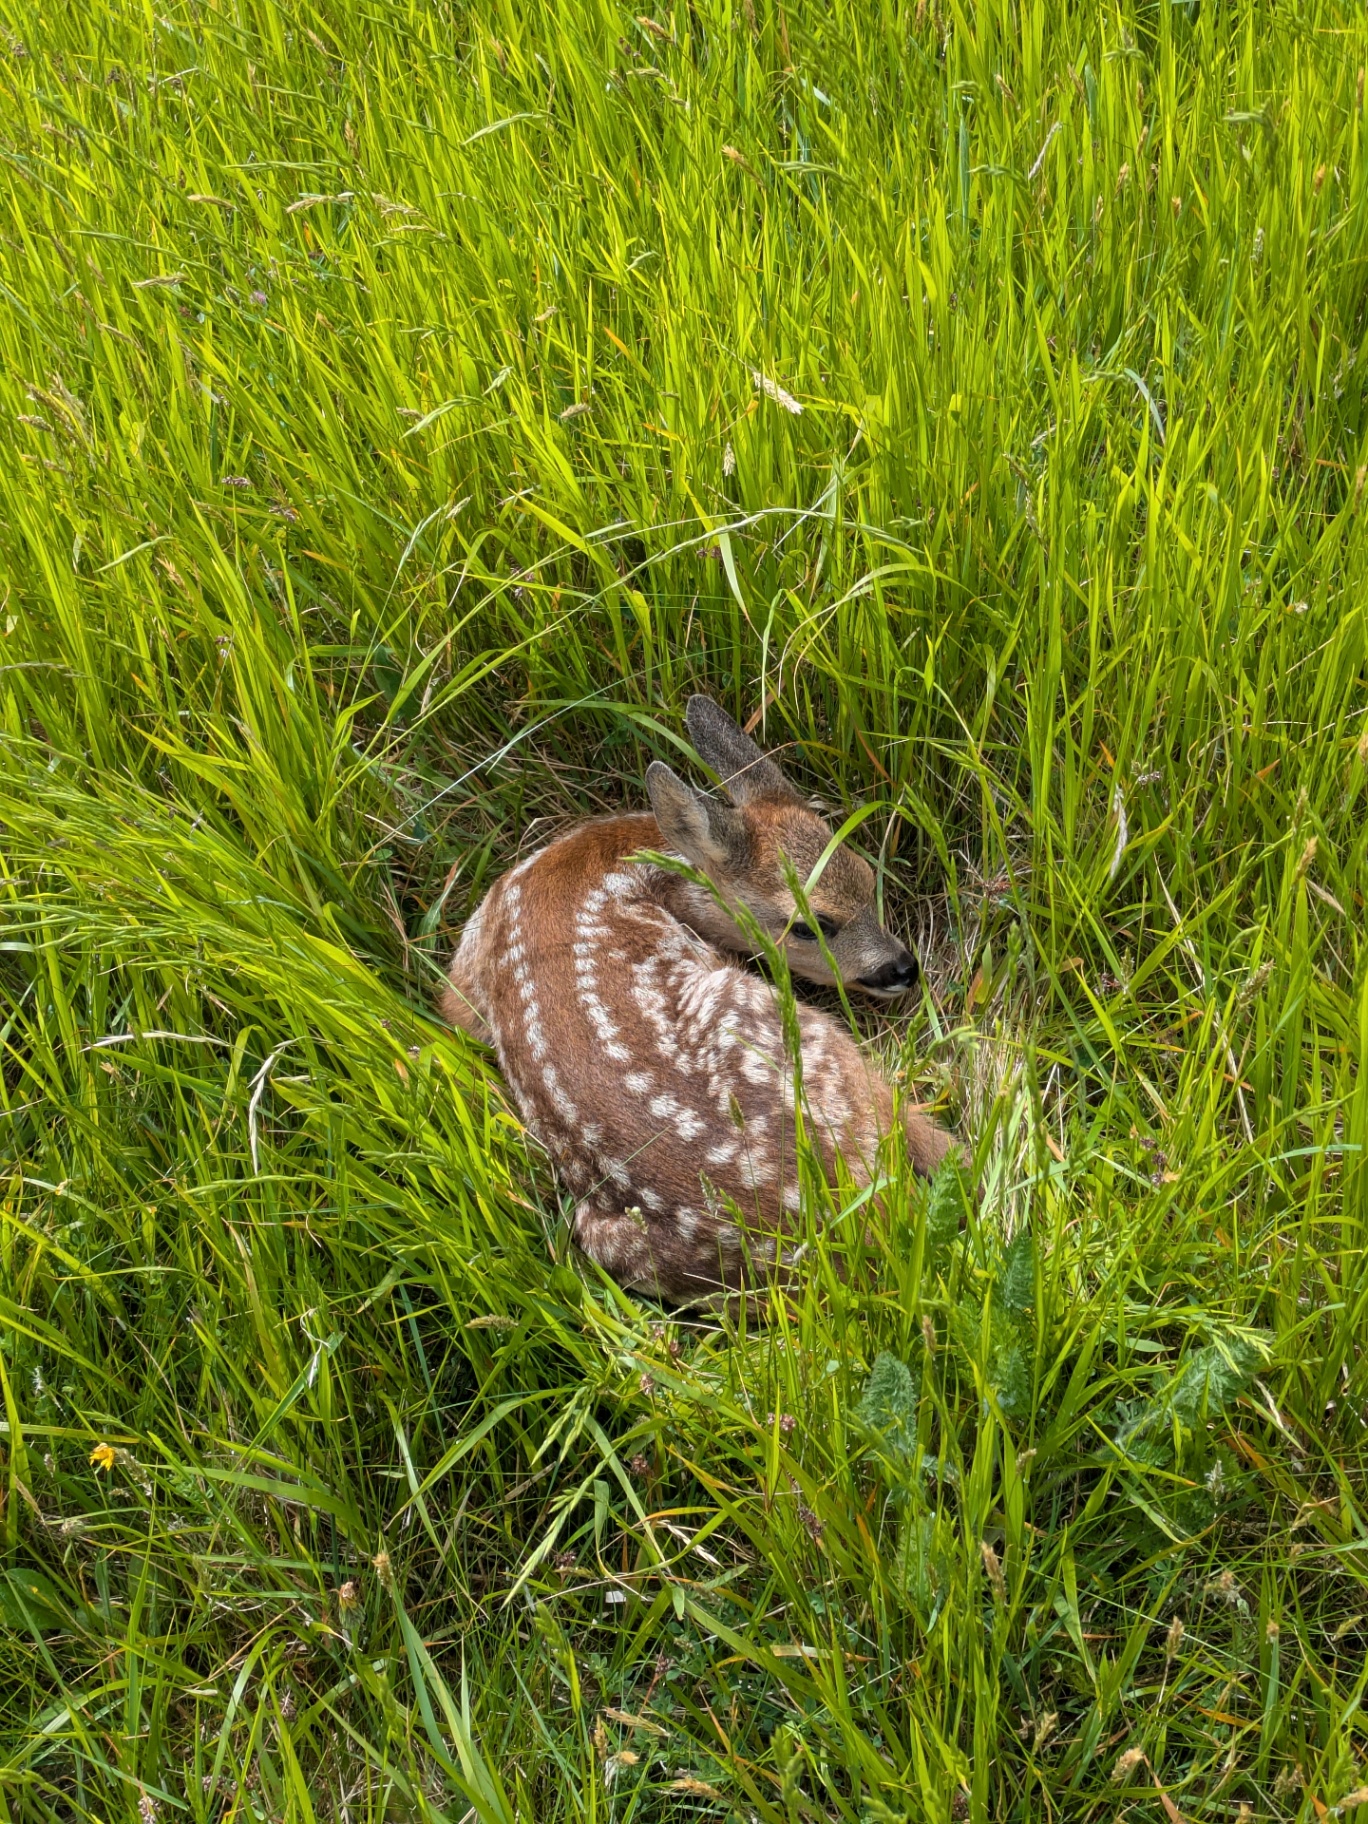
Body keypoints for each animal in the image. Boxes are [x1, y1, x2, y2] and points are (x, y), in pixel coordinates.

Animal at [442, 696, 959, 1305]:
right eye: (809, 925)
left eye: (864, 873)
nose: (903, 968)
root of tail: (844, 1224)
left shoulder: (467, 968)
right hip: (787, 1025)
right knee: (909, 1120)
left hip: (610, 1240)